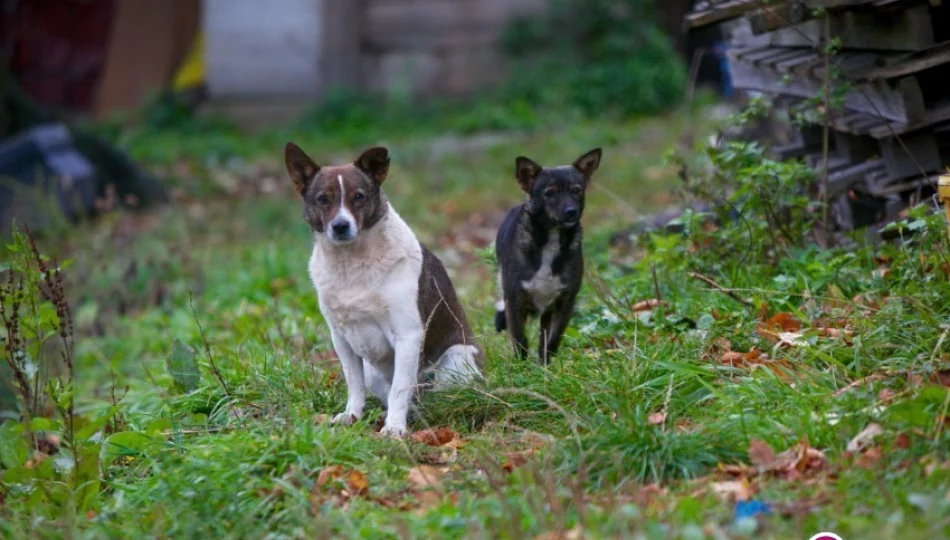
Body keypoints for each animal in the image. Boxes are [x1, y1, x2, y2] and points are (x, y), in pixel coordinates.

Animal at [284, 141, 484, 436]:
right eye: (322, 199)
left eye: (358, 196)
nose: (340, 226)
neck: (351, 264)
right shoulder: (341, 339)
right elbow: (354, 385)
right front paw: (351, 415)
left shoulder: (407, 335)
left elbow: (400, 389)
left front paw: (394, 429)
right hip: (372, 370)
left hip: (457, 359)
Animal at [498, 149, 604, 362]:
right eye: (549, 193)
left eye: (577, 190)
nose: (571, 212)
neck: (551, 241)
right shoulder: (514, 301)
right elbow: (520, 339)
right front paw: (521, 368)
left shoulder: (565, 303)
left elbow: (552, 341)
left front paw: (545, 367)